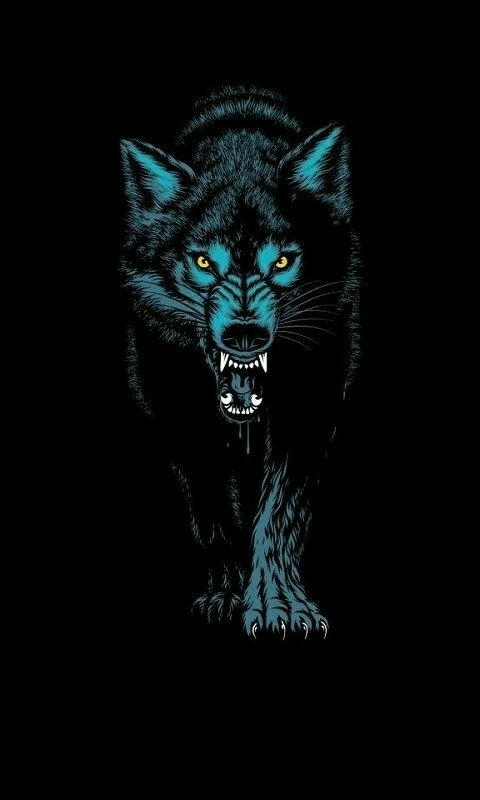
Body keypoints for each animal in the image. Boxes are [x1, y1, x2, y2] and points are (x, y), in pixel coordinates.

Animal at [119, 87, 360, 639]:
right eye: (204, 262)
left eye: (282, 261)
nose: (245, 335)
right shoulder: (180, 416)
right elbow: (215, 515)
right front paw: (227, 594)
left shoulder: (310, 409)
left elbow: (280, 512)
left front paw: (280, 605)